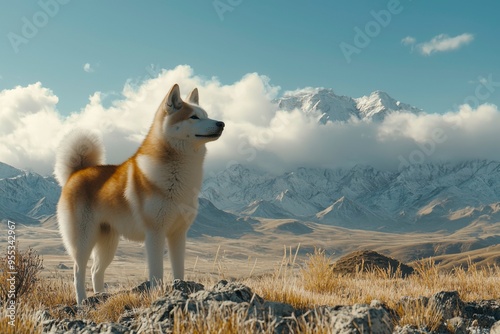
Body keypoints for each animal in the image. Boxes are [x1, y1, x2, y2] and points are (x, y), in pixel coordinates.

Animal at [53, 85, 224, 304]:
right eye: (194, 117)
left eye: (206, 115)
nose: (221, 123)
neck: (178, 178)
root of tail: (76, 172)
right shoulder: (155, 234)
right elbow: (157, 273)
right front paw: (159, 294)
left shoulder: (178, 234)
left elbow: (179, 270)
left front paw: (180, 289)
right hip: (83, 239)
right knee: (78, 271)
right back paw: (82, 301)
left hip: (108, 242)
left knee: (95, 271)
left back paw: (101, 296)